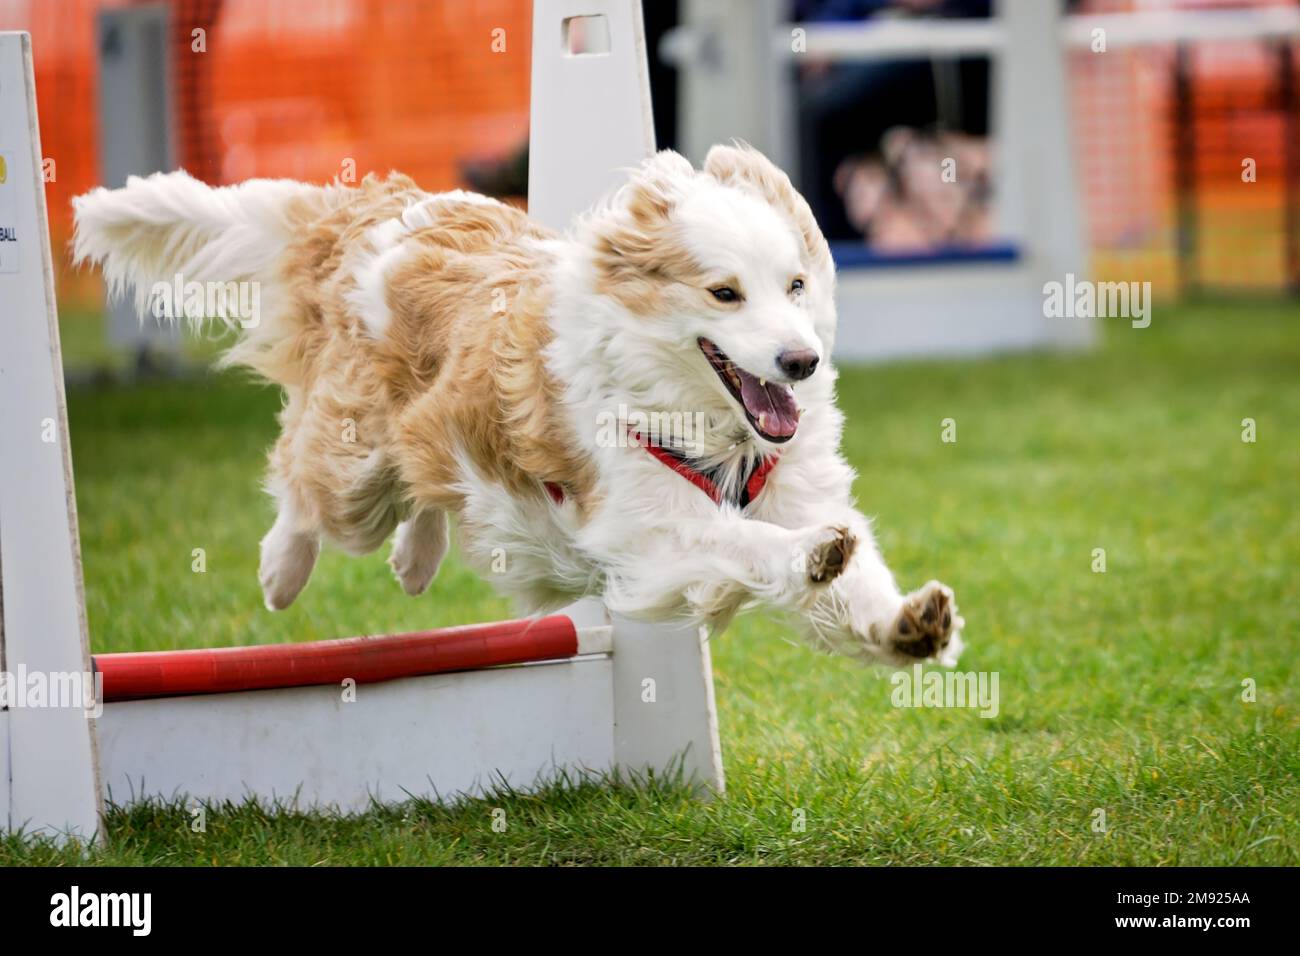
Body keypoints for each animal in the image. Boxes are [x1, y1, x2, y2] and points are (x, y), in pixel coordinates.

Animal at [71, 143, 967, 665]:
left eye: (796, 284)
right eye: (724, 292)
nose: (801, 361)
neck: (712, 428)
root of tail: (375, 209)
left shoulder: (794, 484)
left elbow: (857, 587)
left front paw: (911, 624)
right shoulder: (643, 527)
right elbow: (742, 543)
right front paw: (810, 555)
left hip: (428, 441)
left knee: (429, 480)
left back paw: (414, 558)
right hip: (354, 467)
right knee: (304, 479)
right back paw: (283, 571)